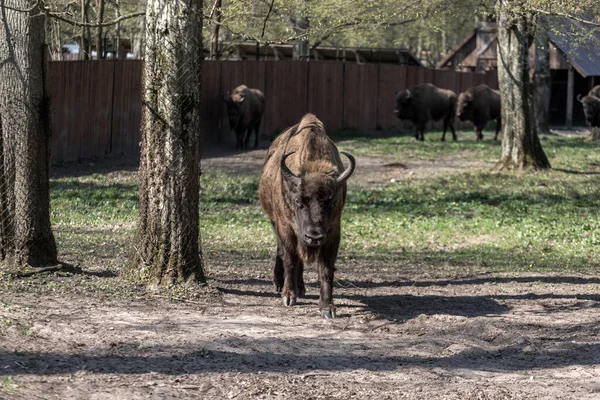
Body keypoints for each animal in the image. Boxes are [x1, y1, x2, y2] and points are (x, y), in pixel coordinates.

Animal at [256, 113, 352, 318]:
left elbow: (326, 269)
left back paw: (301, 287)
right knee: (282, 251)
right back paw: (280, 284)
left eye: (332, 202)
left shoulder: (333, 232)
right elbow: (290, 260)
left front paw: (327, 308)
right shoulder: (286, 228)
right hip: (275, 222)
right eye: (299, 201)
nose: (314, 236)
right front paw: (288, 296)